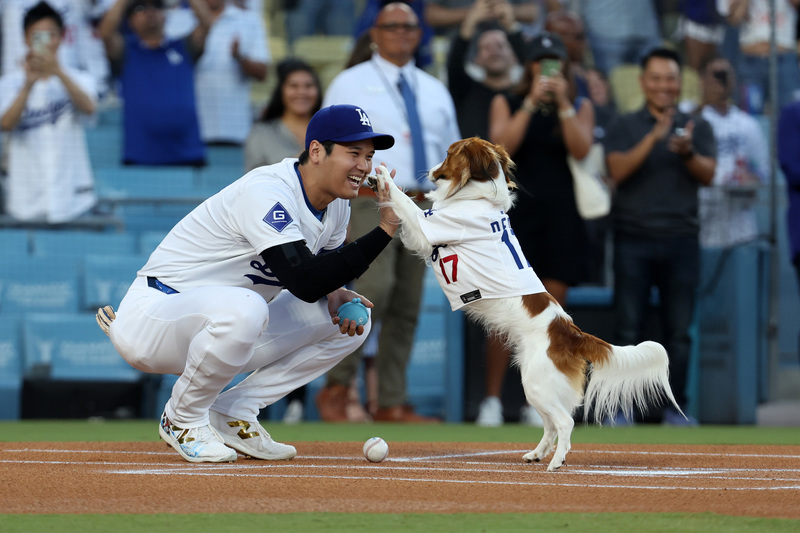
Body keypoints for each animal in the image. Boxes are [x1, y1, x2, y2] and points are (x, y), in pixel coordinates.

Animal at [372, 137, 684, 470]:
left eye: (448, 154)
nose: (430, 170)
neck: (478, 196)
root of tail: (571, 332)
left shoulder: (427, 224)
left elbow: (405, 203)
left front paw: (382, 175)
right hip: (536, 385)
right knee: (551, 425)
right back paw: (537, 453)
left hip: (536, 383)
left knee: (564, 423)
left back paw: (556, 461)